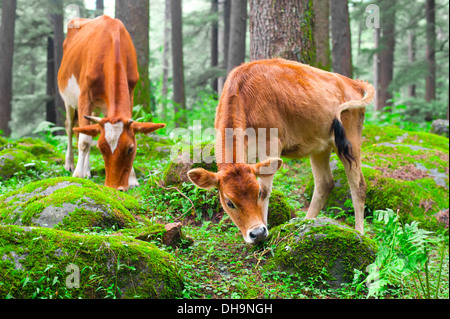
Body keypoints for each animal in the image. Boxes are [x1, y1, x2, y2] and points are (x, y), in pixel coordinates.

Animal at [58, 16, 165, 191]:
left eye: (130, 149)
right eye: (101, 148)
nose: (115, 188)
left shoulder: (131, 91)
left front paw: (132, 178)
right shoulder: (84, 96)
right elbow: (84, 141)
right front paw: (78, 175)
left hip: (99, 107)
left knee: (89, 129)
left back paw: (87, 170)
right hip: (68, 99)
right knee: (70, 127)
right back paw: (71, 165)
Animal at [186, 58, 372, 245]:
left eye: (257, 194)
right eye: (229, 202)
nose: (257, 233)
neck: (243, 94)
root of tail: (354, 82)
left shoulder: (271, 144)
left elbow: (267, 187)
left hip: (350, 141)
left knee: (358, 186)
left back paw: (360, 233)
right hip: (320, 147)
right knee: (324, 183)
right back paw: (305, 222)